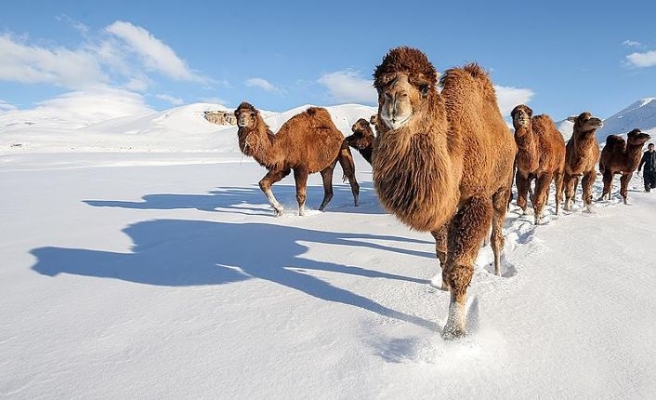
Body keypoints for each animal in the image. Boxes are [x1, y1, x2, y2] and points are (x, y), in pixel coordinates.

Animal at [372, 47, 516, 340]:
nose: (393, 101)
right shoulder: (443, 209)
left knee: (497, 235)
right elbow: (443, 254)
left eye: (424, 87)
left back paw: (497, 271)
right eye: (380, 85)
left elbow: (459, 267)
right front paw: (442, 287)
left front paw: (453, 331)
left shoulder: (475, 200)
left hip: (502, 187)